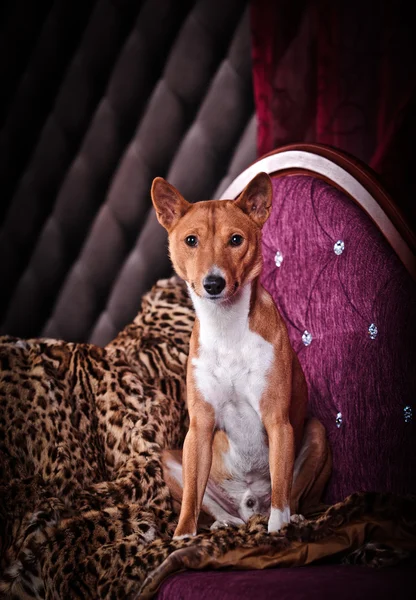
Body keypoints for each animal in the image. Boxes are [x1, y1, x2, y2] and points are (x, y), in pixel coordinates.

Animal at [151, 173, 330, 540]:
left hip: (317, 431)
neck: (227, 329)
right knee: (212, 505)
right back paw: (224, 523)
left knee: (292, 494)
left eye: (236, 240)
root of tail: (250, 509)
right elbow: (191, 496)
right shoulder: (199, 428)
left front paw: (278, 530)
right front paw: (182, 537)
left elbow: (281, 489)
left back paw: (291, 519)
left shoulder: (277, 421)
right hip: (171, 459)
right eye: (191, 240)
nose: (213, 283)